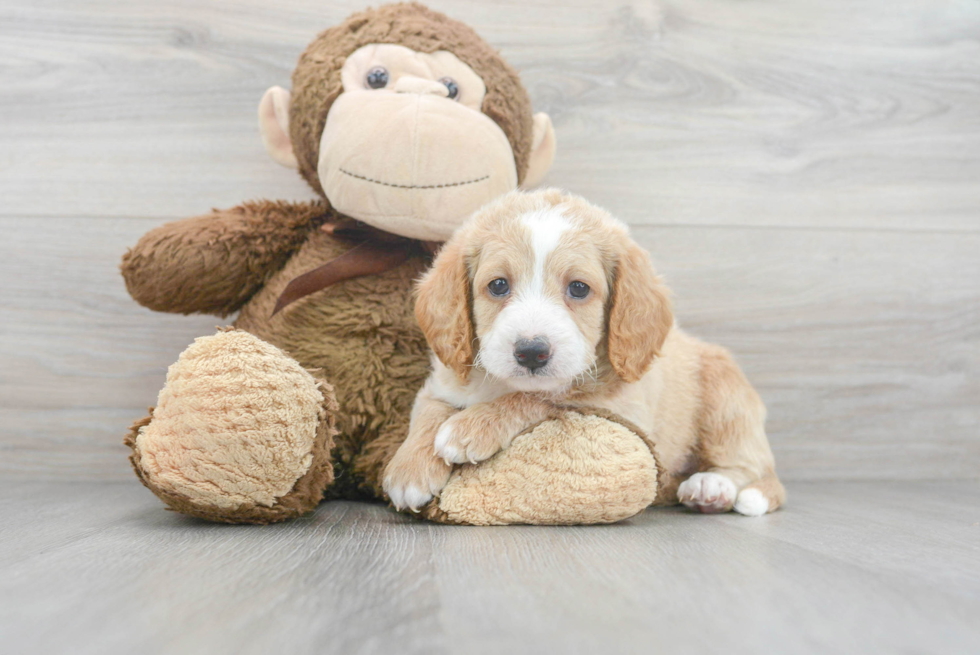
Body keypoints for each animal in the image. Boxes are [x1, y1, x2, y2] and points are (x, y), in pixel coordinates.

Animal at [382, 188, 788, 516]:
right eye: (498, 285)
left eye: (578, 288)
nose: (531, 352)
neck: (501, 384)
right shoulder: (445, 378)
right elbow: (430, 410)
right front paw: (408, 470)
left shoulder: (618, 411)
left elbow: (546, 400)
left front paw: (472, 427)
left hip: (725, 399)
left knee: (754, 467)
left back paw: (712, 487)